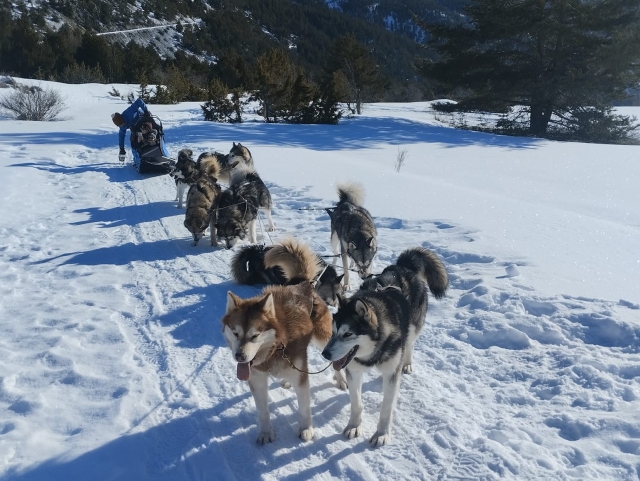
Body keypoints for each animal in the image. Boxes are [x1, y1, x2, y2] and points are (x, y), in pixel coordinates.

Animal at [222, 284, 348, 444]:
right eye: (235, 333)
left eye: (255, 335)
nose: (240, 356)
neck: (277, 346)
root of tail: (304, 285)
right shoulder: (257, 379)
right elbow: (263, 412)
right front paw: (265, 433)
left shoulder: (301, 377)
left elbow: (304, 407)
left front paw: (306, 429)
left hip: (323, 339)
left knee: (336, 359)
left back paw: (341, 379)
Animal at [322, 248, 448, 446]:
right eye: (333, 331)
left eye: (348, 334)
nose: (325, 354)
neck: (373, 353)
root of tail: (403, 267)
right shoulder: (354, 371)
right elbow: (356, 403)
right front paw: (354, 426)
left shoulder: (390, 373)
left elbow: (386, 408)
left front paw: (381, 433)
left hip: (412, 329)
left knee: (409, 345)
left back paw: (407, 363)